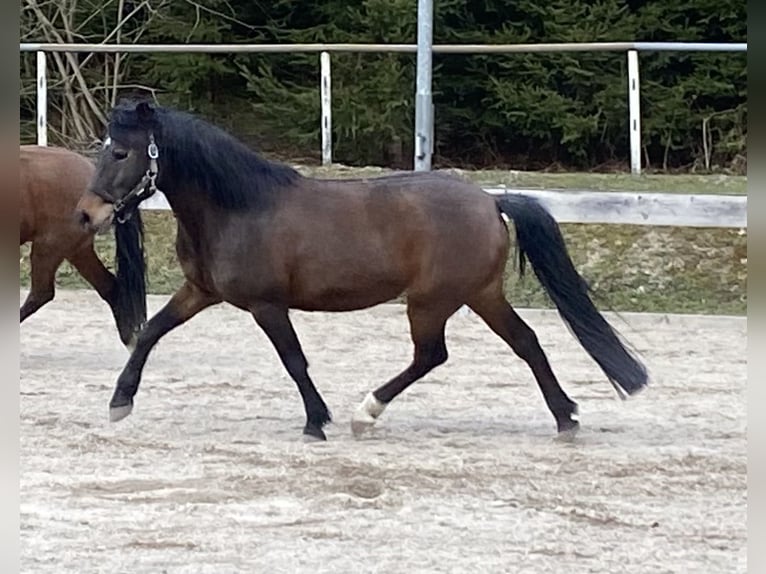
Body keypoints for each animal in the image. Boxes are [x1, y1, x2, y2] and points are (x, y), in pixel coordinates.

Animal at [75, 100, 648, 441]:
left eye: (121, 152)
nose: (86, 214)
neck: (239, 208)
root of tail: (490, 200)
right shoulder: (199, 291)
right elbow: (150, 332)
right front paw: (120, 402)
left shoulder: (267, 305)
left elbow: (294, 361)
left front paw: (316, 421)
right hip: (481, 294)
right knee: (525, 342)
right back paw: (566, 417)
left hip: (432, 301)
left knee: (432, 355)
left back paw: (364, 411)